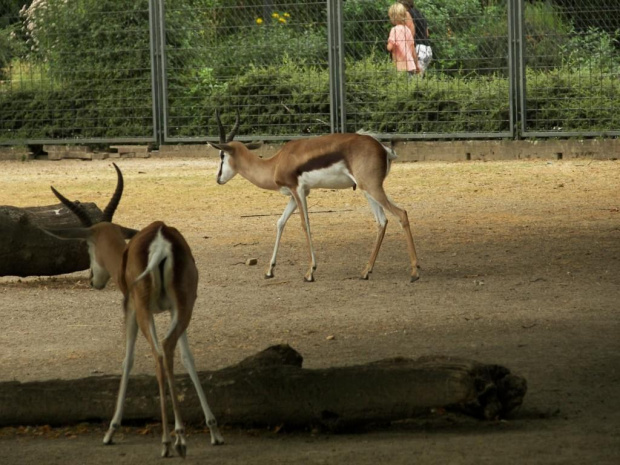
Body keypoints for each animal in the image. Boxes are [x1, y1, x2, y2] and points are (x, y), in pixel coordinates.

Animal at [46, 163, 225, 456]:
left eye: (87, 245)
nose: (93, 280)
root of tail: (161, 240)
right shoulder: (174, 311)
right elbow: (188, 358)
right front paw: (214, 431)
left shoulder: (130, 310)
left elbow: (127, 360)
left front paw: (111, 430)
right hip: (185, 307)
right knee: (169, 349)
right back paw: (181, 436)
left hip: (143, 311)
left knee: (159, 352)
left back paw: (171, 441)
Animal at [211, 111, 418, 282]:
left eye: (221, 155)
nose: (218, 179)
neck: (276, 163)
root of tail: (383, 149)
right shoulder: (295, 195)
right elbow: (280, 223)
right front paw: (270, 270)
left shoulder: (298, 191)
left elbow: (305, 224)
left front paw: (310, 272)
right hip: (367, 191)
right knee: (382, 221)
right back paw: (366, 271)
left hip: (372, 188)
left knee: (401, 213)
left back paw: (414, 272)